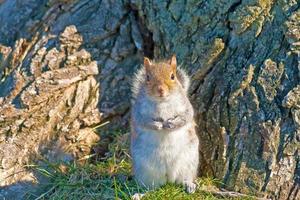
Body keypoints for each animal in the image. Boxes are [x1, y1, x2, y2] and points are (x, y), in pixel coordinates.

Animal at [129, 54, 198, 194]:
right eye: (147, 77)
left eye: (173, 76)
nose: (160, 90)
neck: (162, 101)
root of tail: (169, 178)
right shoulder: (137, 110)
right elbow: (142, 120)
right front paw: (157, 125)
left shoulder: (186, 106)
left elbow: (187, 116)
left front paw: (171, 124)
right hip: (145, 171)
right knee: (150, 189)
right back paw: (140, 194)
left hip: (189, 162)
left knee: (184, 178)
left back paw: (189, 185)